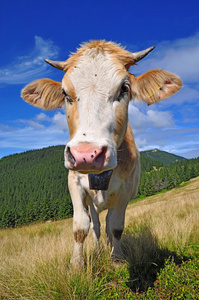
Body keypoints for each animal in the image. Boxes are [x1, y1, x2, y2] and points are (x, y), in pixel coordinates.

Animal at [21, 40, 181, 268]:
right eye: (65, 93)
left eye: (124, 88)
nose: (86, 154)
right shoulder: (74, 183)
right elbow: (81, 227)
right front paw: (76, 265)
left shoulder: (125, 192)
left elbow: (116, 227)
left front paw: (117, 259)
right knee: (96, 225)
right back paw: (98, 251)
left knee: (107, 225)